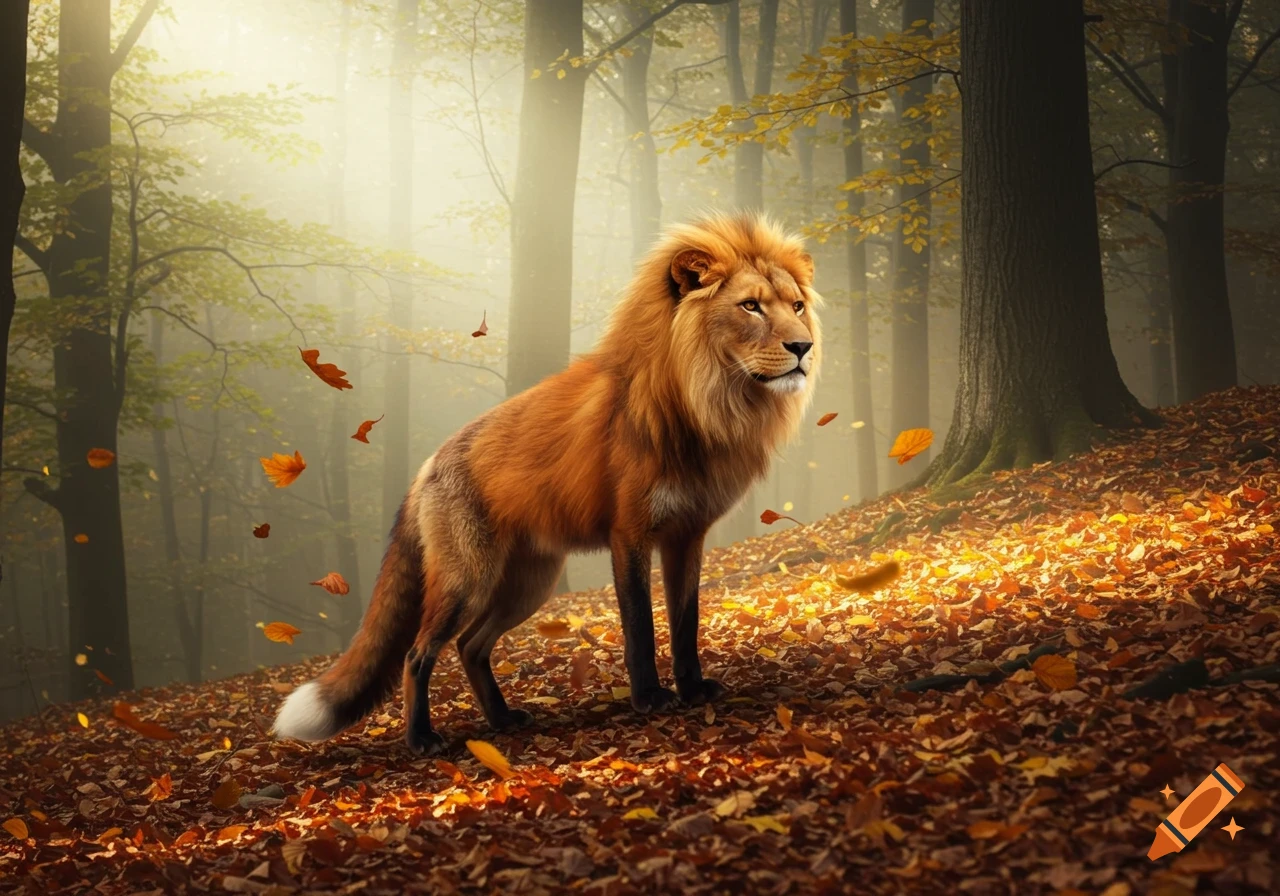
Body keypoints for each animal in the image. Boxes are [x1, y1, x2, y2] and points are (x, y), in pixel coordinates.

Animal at [274, 213, 823, 754]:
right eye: (750, 306)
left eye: (796, 306)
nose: (803, 347)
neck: (695, 409)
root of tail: (427, 464)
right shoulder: (629, 534)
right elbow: (640, 629)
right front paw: (649, 698)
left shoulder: (687, 535)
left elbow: (685, 625)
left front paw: (691, 690)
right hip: (468, 583)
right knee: (417, 653)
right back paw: (421, 739)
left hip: (526, 586)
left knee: (469, 647)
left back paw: (501, 719)